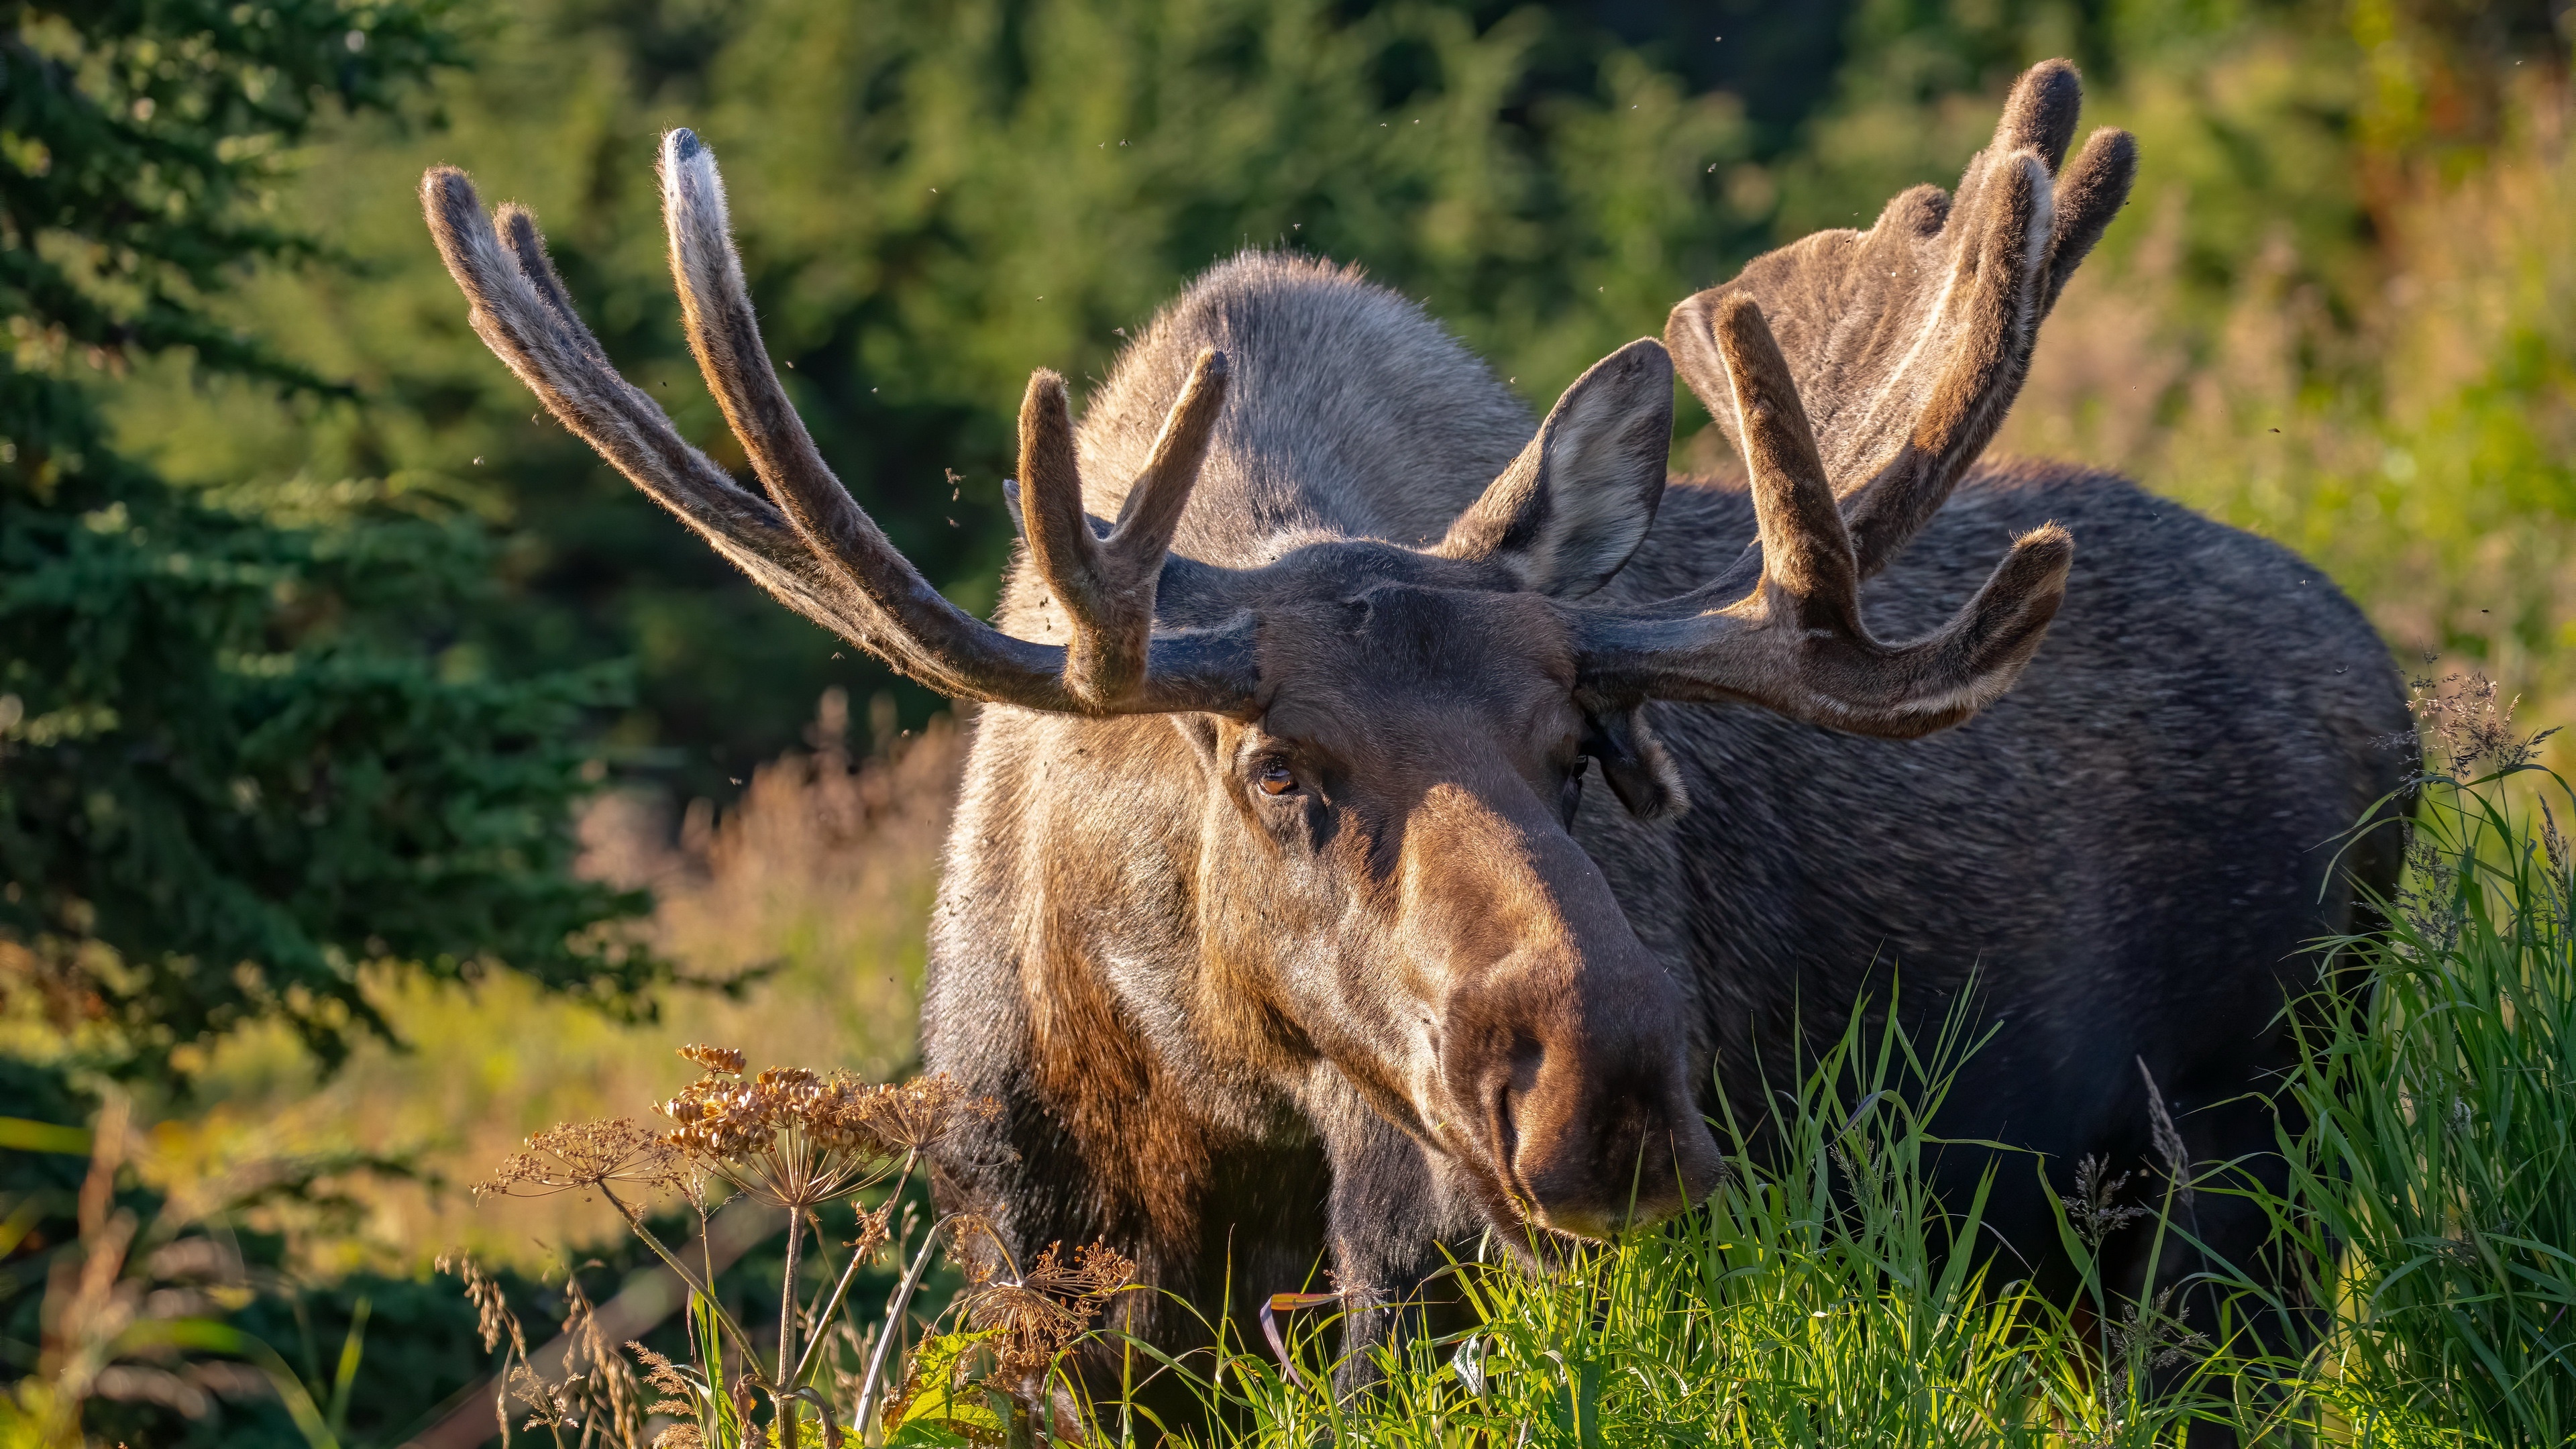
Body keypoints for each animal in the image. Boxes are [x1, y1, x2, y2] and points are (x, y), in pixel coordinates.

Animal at [423, 59, 2406, 1434]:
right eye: (1281, 773)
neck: (1190, 1118)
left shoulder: (1419, 1270)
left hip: (2239, 1146)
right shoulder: (1052, 1289)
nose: (1604, 1094)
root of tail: (2379, 670)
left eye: (1585, 746)